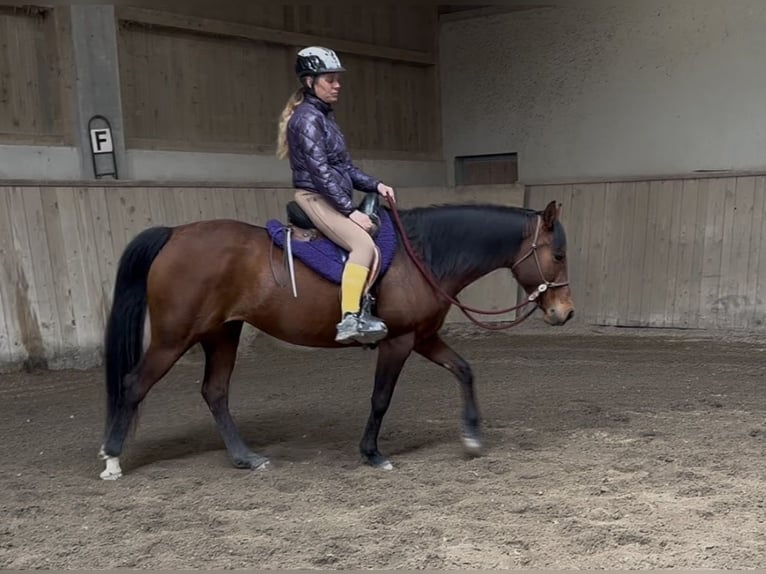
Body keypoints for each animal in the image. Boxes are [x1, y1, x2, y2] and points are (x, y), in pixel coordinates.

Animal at [97, 196, 574, 480]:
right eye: (558, 254)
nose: (564, 313)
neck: (421, 256)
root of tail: (175, 234)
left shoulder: (422, 337)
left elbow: (464, 370)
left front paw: (472, 436)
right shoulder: (398, 342)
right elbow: (380, 398)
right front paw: (372, 453)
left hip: (221, 334)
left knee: (214, 392)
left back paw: (245, 457)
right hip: (174, 337)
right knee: (133, 384)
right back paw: (113, 458)